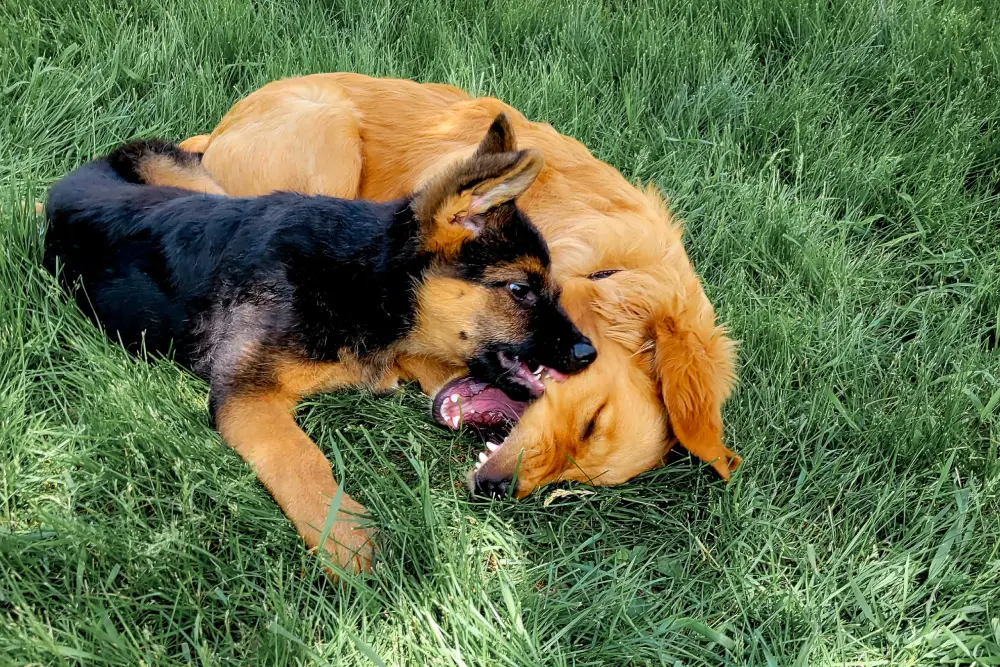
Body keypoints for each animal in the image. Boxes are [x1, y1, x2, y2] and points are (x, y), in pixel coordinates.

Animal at [42, 118, 596, 574]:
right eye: (520, 290)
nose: (587, 354)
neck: (363, 277)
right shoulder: (246, 394)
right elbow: (301, 459)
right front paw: (347, 539)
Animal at [180, 72, 741, 498]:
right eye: (592, 423)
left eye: (570, 483)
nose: (495, 489)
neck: (607, 262)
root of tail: (220, 129)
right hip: (329, 141)